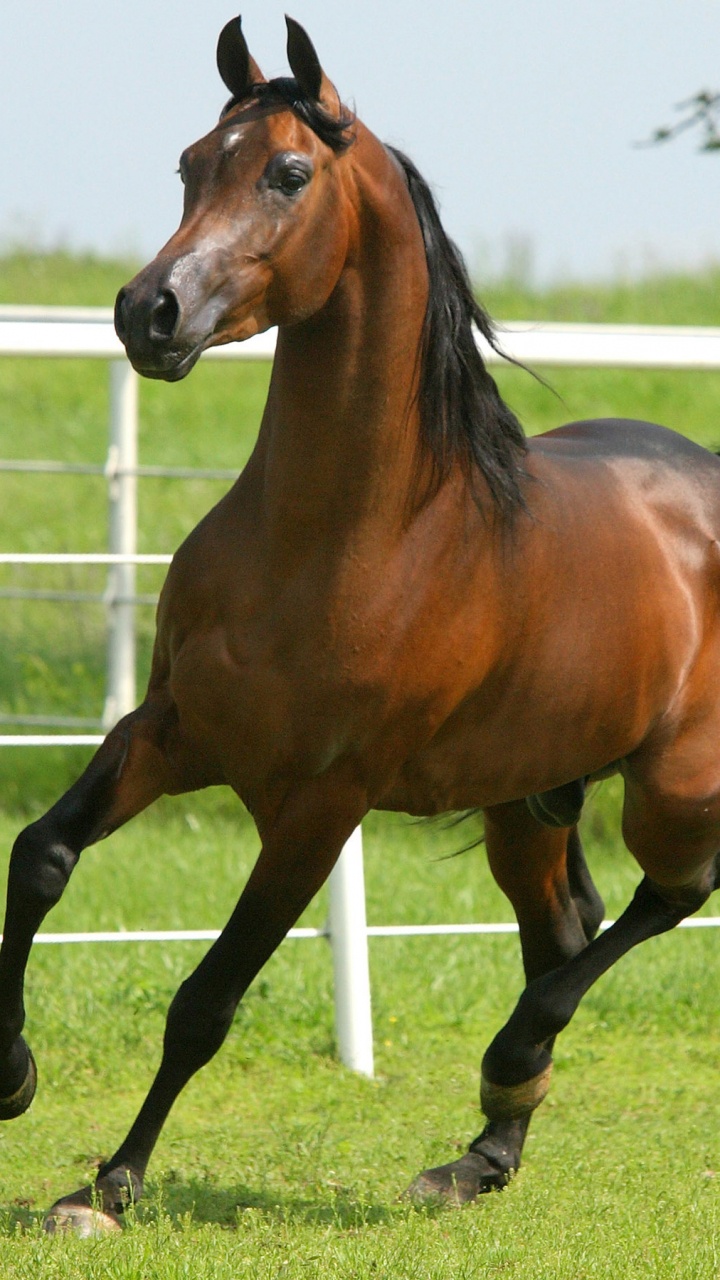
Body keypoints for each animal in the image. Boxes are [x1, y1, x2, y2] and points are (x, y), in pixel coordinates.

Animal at [1, 14, 720, 1234]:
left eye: (289, 172)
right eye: (190, 163)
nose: (148, 312)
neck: (343, 537)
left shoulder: (321, 804)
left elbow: (206, 998)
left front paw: (109, 1185)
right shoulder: (171, 730)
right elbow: (41, 854)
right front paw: (12, 1072)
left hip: (672, 787)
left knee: (664, 899)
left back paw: (508, 1064)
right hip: (525, 799)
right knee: (563, 928)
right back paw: (479, 1155)